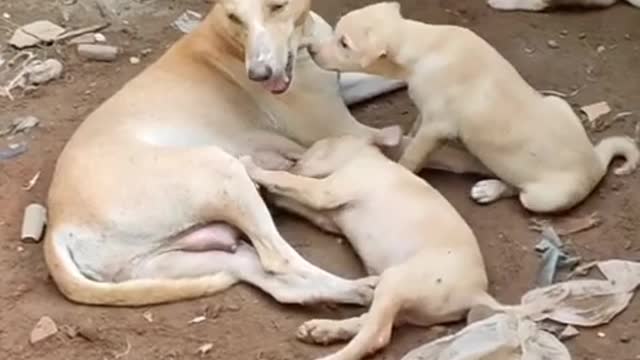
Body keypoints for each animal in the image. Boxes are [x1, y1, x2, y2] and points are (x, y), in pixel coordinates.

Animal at [240, 125, 504, 358]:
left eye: (318, 148)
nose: (296, 160)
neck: (363, 156)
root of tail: (475, 293)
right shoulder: (326, 214)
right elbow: (291, 198)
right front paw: (269, 196)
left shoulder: (325, 192)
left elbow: (285, 179)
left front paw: (249, 164)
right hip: (407, 304)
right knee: (370, 322)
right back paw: (323, 330)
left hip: (397, 281)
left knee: (376, 336)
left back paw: (331, 354)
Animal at [308, 1, 636, 214]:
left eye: (344, 44)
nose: (310, 50)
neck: (423, 44)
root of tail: (596, 163)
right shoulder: (427, 113)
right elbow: (413, 128)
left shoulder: (436, 126)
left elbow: (412, 157)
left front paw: (399, 171)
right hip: (558, 103)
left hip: (543, 198)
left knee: (518, 190)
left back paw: (490, 189)